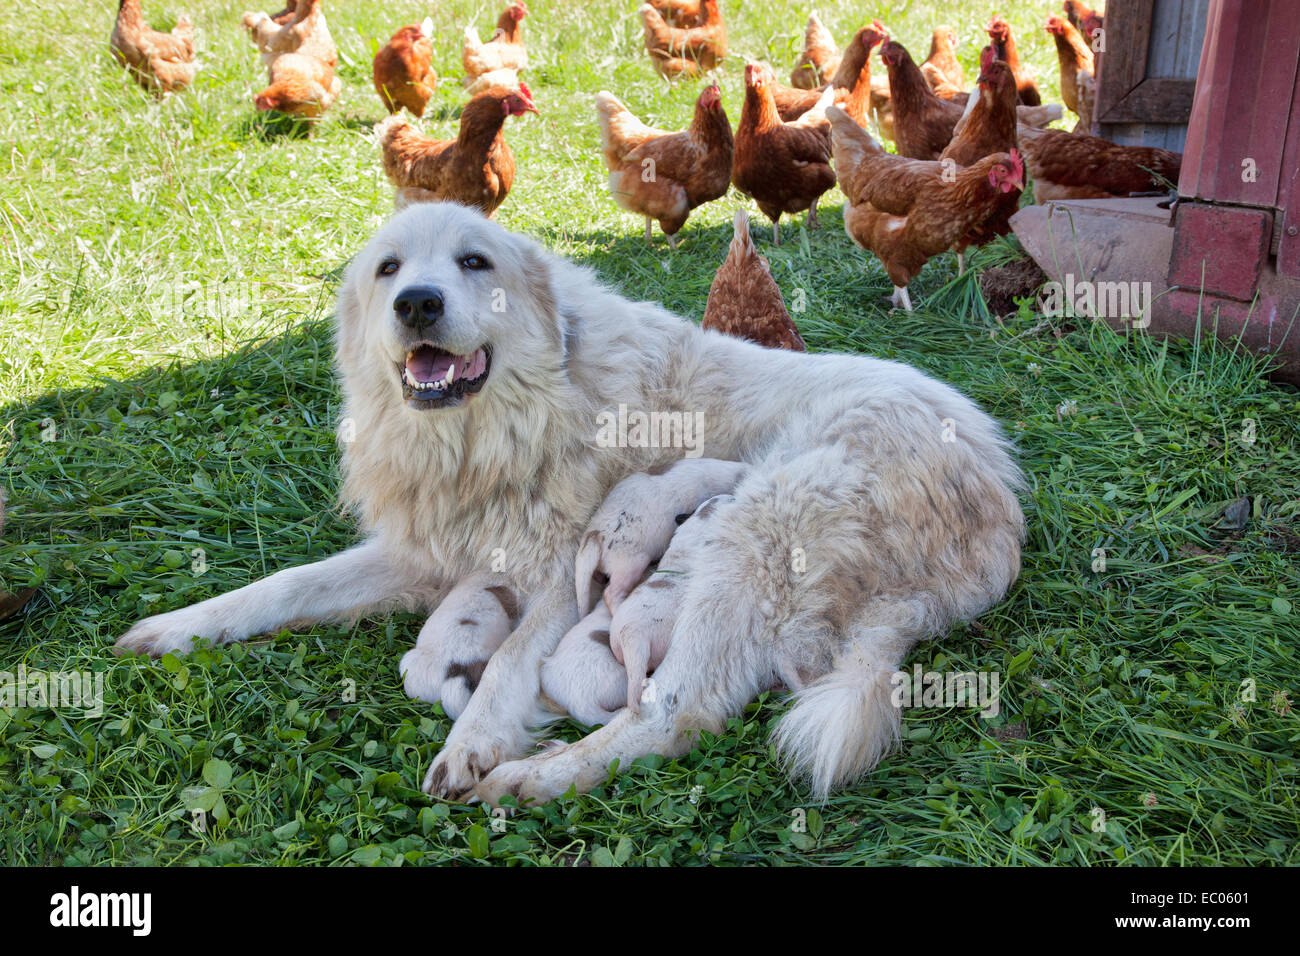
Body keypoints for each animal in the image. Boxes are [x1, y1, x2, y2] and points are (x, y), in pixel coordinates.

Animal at [116, 204, 1019, 806]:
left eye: (474, 263)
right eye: (389, 270)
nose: (418, 304)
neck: (492, 428)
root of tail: (999, 507)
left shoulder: (555, 571)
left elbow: (511, 660)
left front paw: (474, 744)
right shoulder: (428, 553)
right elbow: (287, 584)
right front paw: (179, 627)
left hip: (753, 538)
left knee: (677, 714)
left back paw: (529, 780)